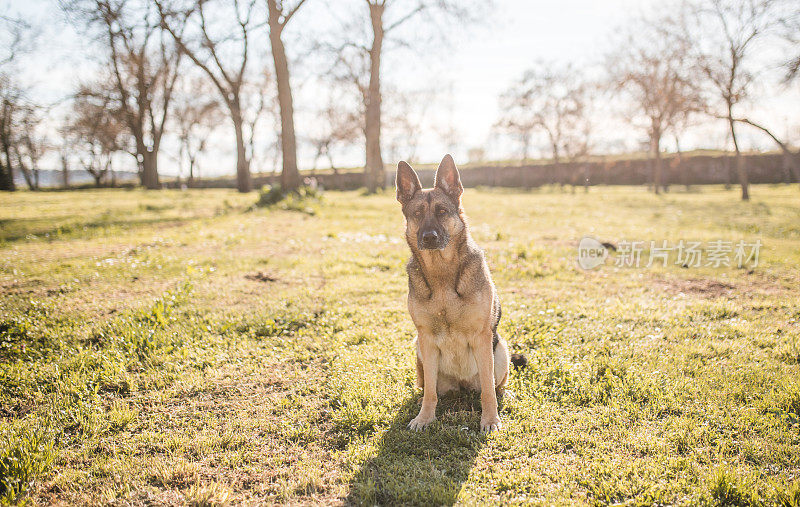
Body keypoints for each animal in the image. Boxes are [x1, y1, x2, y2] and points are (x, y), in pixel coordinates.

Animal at [396, 154, 524, 432]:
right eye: (417, 214)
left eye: (442, 211)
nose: (429, 237)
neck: (442, 273)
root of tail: (462, 386)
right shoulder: (426, 338)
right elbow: (430, 393)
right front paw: (425, 418)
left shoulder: (481, 337)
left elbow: (487, 390)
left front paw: (490, 420)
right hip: (418, 351)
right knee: (427, 387)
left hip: (500, 349)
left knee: (495, 385)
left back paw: (505, 394)